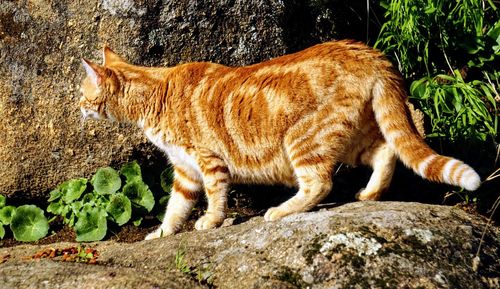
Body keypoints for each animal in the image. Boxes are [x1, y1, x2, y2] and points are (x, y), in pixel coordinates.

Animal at [79, 40, 480, 238]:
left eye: (83, 94)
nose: (77, 107)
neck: (155, 93)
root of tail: (367, 52)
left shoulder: (208, 162)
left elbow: (216, 197)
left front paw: (211, 222)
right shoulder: (185, 172)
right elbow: (175, 208)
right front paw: (161, 234)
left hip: (304, 139)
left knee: (320, 183)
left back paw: (281, 210)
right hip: (352, 136)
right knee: (386, 151)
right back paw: (370, 194)